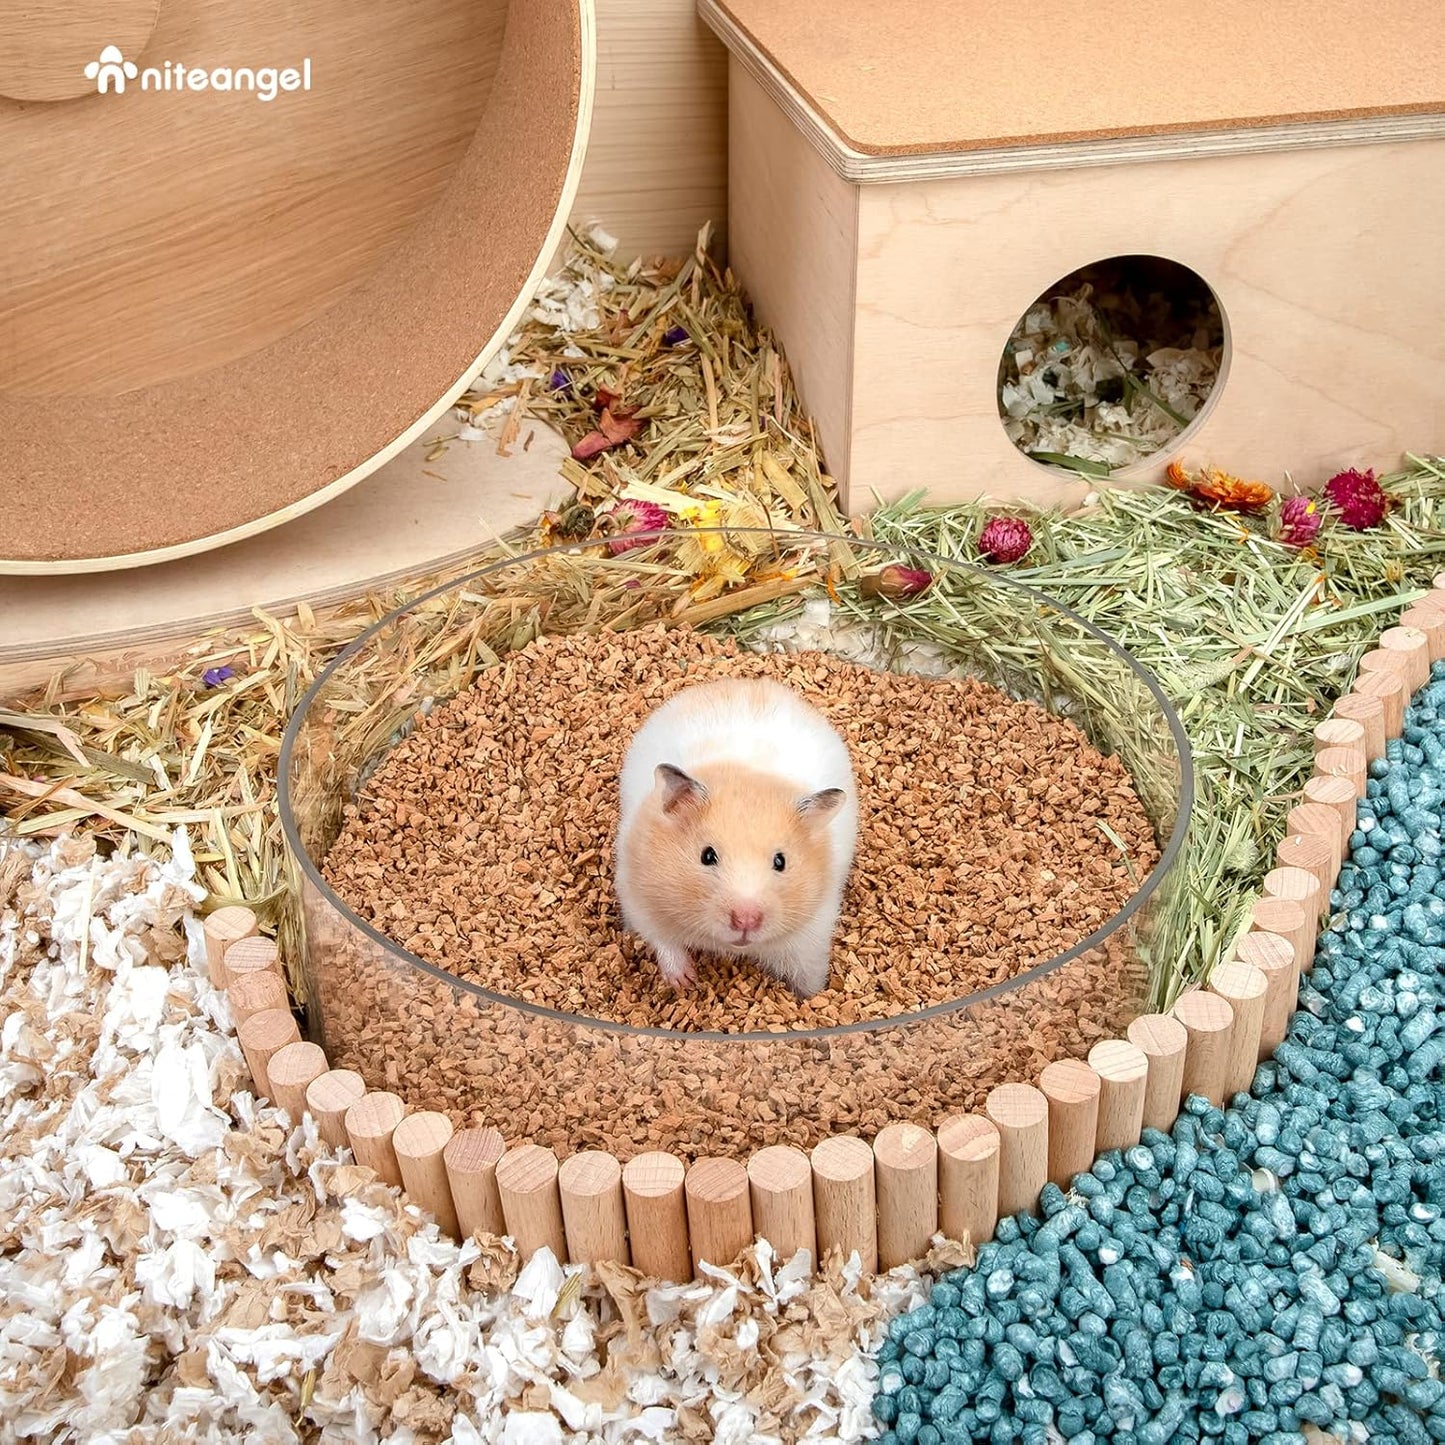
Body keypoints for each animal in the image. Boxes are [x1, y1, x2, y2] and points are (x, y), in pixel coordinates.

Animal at [614, 677, 859, 999]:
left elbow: (808, 973)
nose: (746, 920)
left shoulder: (811, 933)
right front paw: (685, 982)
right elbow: (664, 942)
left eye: (780, 862)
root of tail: (743, 682)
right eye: (707, 856)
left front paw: (812, 997)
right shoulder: (640, 899)